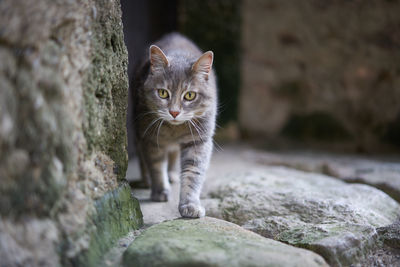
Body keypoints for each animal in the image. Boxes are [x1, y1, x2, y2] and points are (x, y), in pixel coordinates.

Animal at [132, 33, 217, 218]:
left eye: (190, 95)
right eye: (163, 93)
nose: (174, 112)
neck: (174, 130)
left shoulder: (198, 141)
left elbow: (193, 174)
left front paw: (190, 205)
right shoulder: (149, 138)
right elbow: (156, 166)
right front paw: (159, 191)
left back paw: (171, 174)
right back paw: (147, 179)